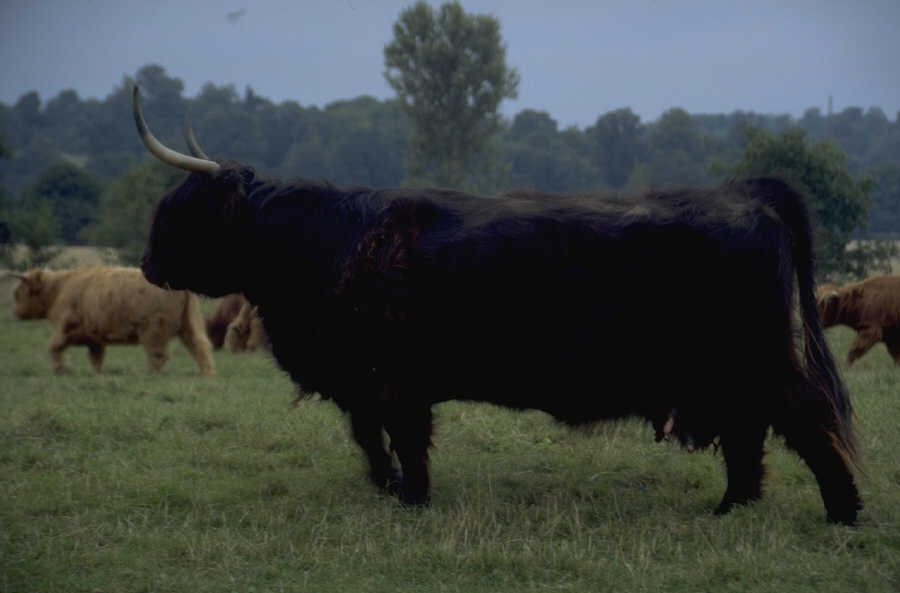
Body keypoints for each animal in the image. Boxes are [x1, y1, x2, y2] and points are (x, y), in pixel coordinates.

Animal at [12, 265, 215, 376]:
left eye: (17, 293)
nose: (15, 313)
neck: (58, 289)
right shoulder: (94, 338)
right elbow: (96, 358)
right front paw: (97, 374)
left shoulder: (66, 329)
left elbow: (53, 347)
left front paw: (59, 369)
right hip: (188, 325)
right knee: (200, 347)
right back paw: (207, 374)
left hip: (153, 328)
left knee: (158, 355)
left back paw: (148, 374)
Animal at [132, 86, 861, 524]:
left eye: (178, 209)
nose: (146, 265)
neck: (329, 241)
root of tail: (748, 190)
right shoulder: (362, 381)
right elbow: (371, 440)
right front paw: (387, 488)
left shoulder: (395, 379)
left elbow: (404, 441)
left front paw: (413, 499)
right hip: (727, 373)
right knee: (750, 435)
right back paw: (732, 506)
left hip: (761, 359)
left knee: (807, 420)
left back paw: (843, 510)